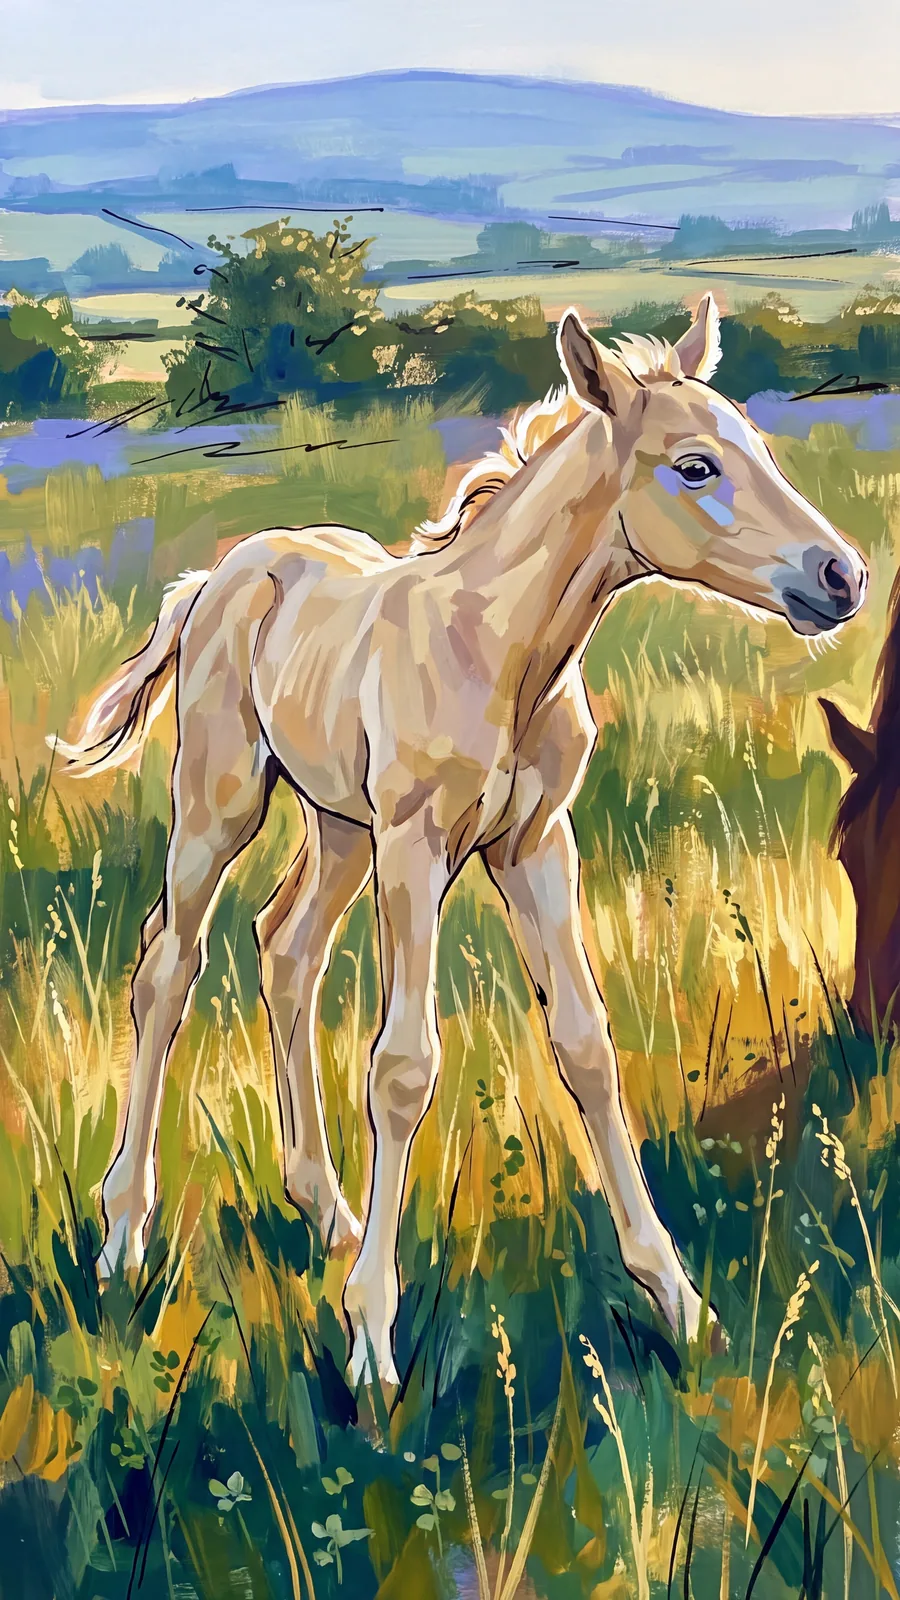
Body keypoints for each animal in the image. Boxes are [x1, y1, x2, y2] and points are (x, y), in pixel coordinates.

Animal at [56, 294, 867, 1383]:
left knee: (285, 947)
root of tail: (227, 568)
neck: (502, 648)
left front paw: (679, 1301)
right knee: (167, 967)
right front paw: (371, 1340)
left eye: (761, 448)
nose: (843, 576)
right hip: (221, 802)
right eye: (695, 466)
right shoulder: (417, 847)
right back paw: (124, 1234)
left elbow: (586, 1045)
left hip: (337, 826)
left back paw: (328, 1211)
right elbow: (403, 1068)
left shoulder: (536, 846)